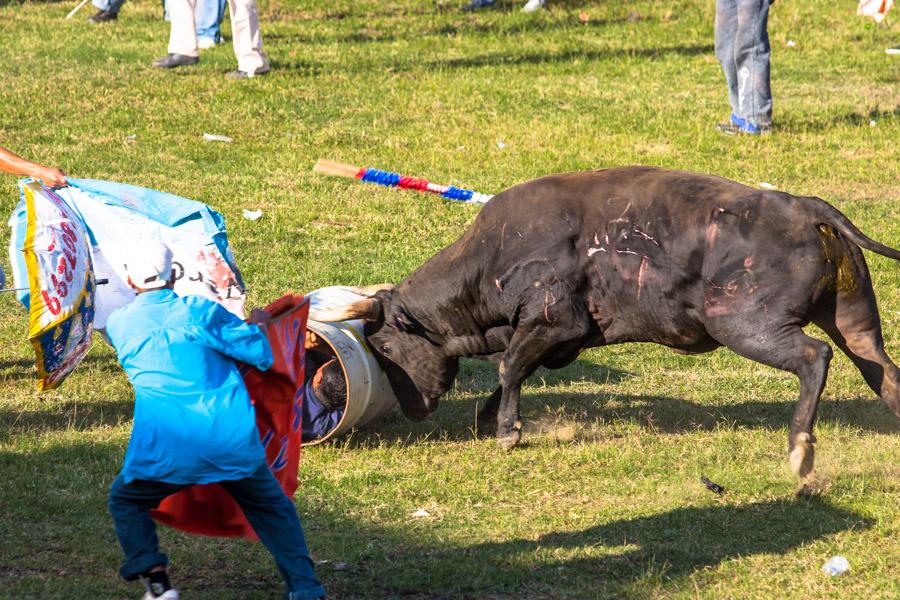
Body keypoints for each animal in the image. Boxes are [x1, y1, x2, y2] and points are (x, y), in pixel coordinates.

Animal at [312, 166, 900, 486]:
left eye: (387, 345)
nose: (414, 409)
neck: (490, 259)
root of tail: (804, 207)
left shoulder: (553, 319)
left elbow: (510, 365)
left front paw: (507, 431)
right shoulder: (560, 336)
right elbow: (515, 368)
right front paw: (492, 418)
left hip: (745, 323)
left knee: (813, 358)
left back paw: (799, 449)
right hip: (854, 321)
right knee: (884, 371)